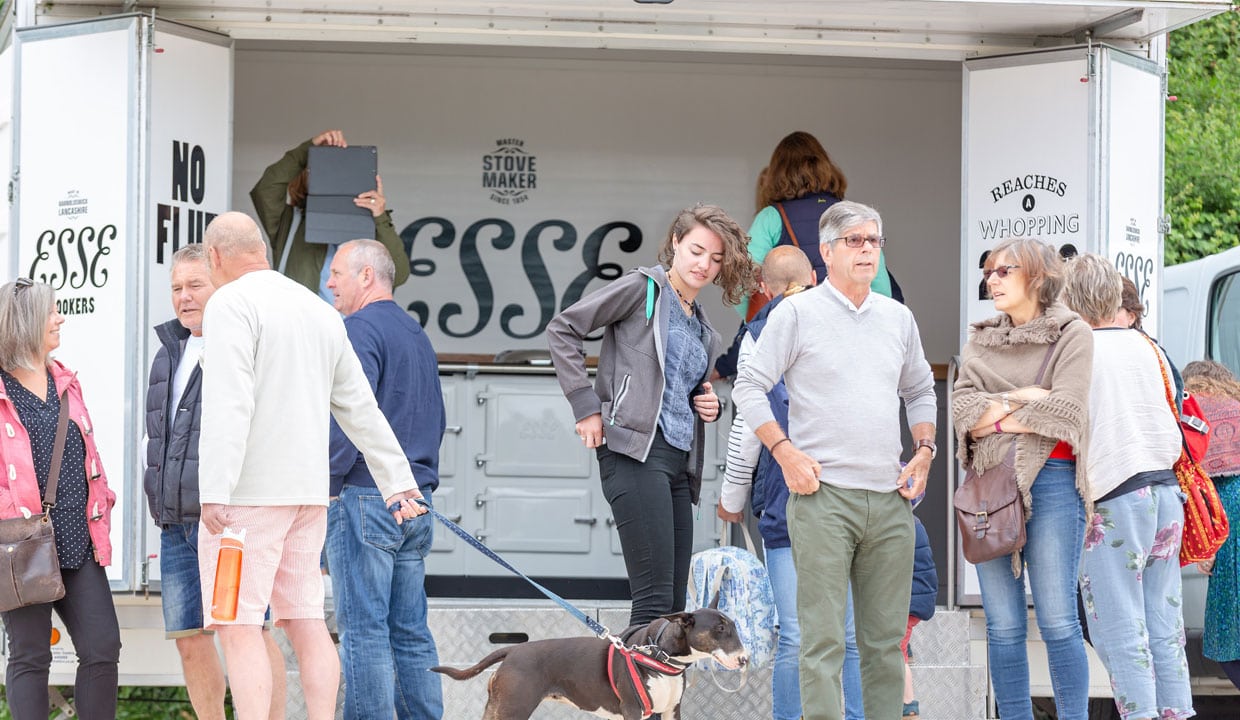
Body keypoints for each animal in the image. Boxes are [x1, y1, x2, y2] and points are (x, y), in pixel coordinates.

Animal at [436, 607, 744, 718]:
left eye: (734, 626)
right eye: (719, 629)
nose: (744, 659)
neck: (658, 654)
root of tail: (511, 652)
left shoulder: (671, 710)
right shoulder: (632, 710)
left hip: (497, 708)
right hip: (513, 708)